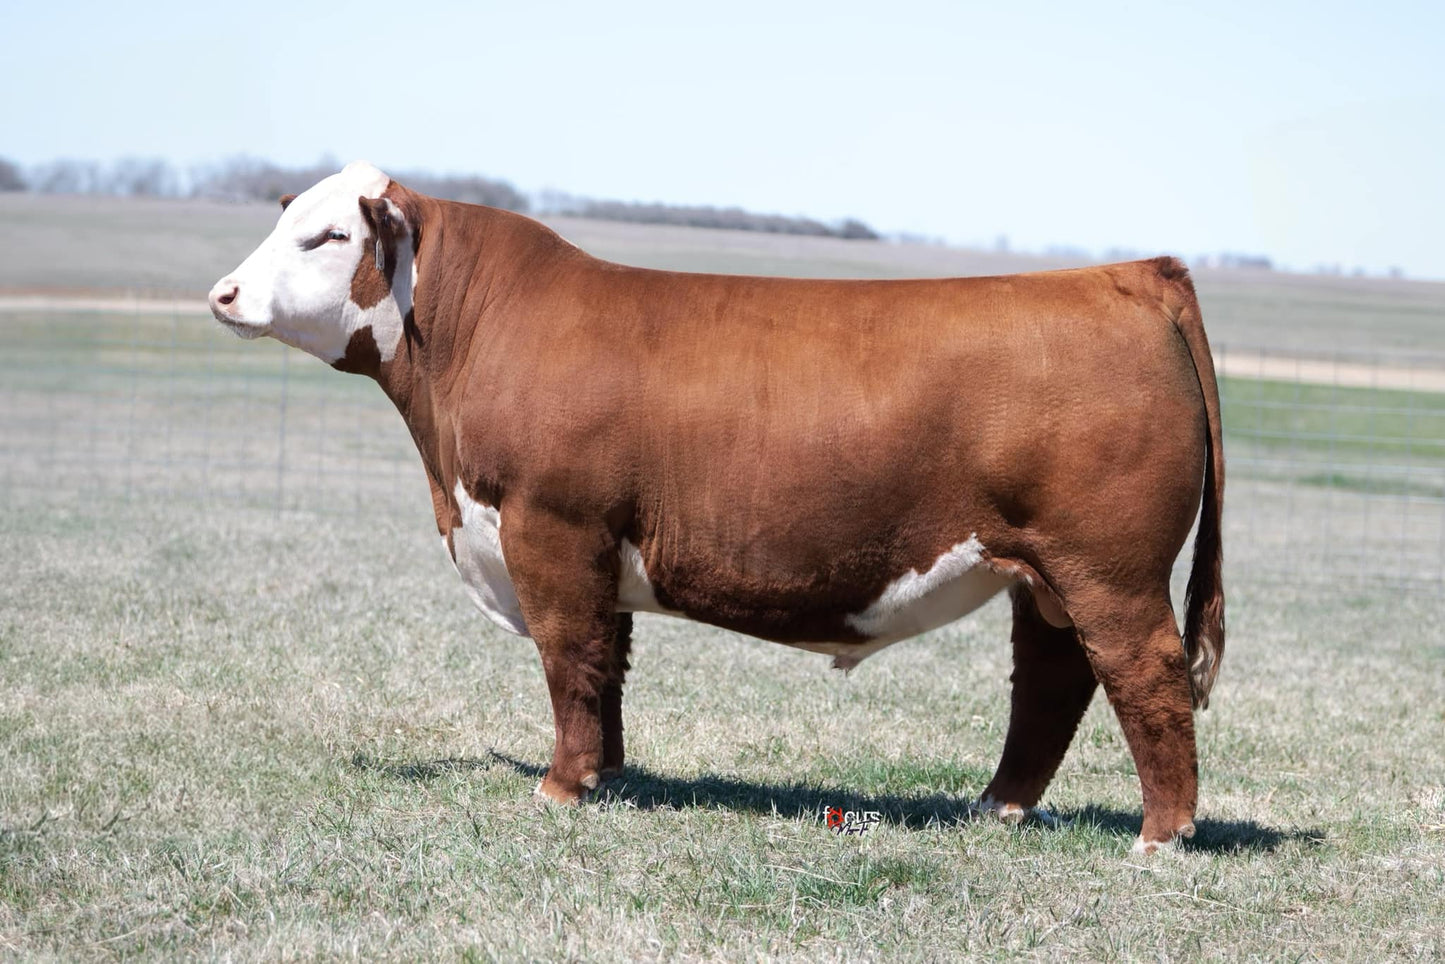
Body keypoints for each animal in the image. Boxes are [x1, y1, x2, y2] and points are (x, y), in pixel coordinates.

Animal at [209, 161, 1225, 855]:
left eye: (325, 239)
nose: (223, 293)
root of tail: (1128, 273)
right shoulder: (596, 552)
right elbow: (607, 664)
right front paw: (608, 775)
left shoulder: (551, 531)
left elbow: (568, 659)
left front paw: (560, 787)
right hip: (1043, 574)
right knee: (1052, 680)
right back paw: (995, 807)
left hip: (1106, 566)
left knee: (1144, 672)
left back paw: (1160, 835)